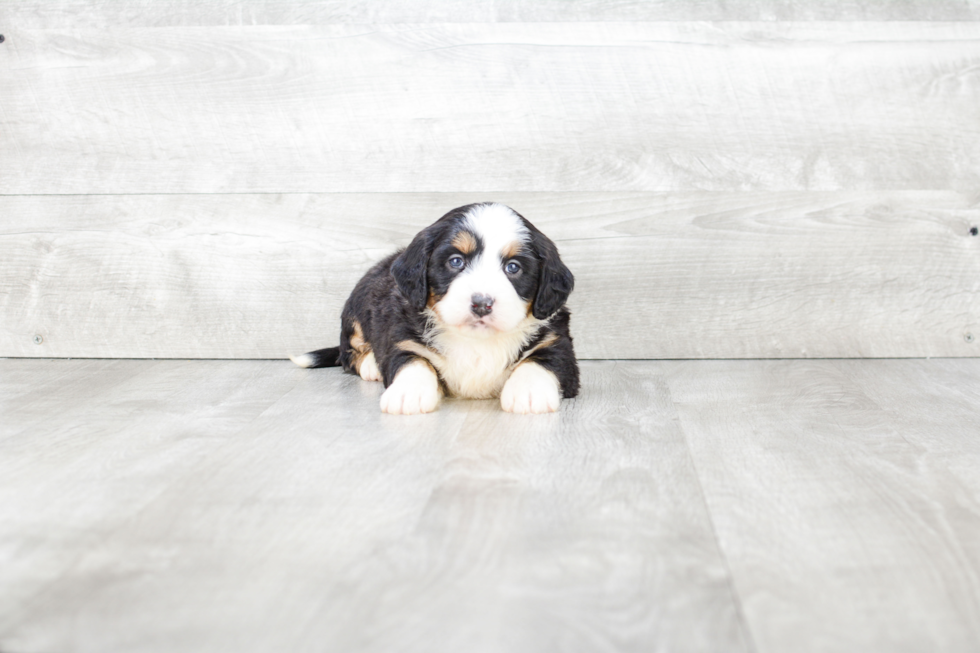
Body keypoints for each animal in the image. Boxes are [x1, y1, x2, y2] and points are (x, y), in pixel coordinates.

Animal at [288, 202, 580, 412]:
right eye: (456, 261)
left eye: (513, 267)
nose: (481, 304)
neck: (476, 342)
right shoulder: (404, 340)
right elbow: (415, 362)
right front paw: (408, 393)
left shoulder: (558, 345)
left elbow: (540, 362)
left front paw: (529, 392)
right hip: (356, 310)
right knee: (350, 353)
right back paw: (371, 364)